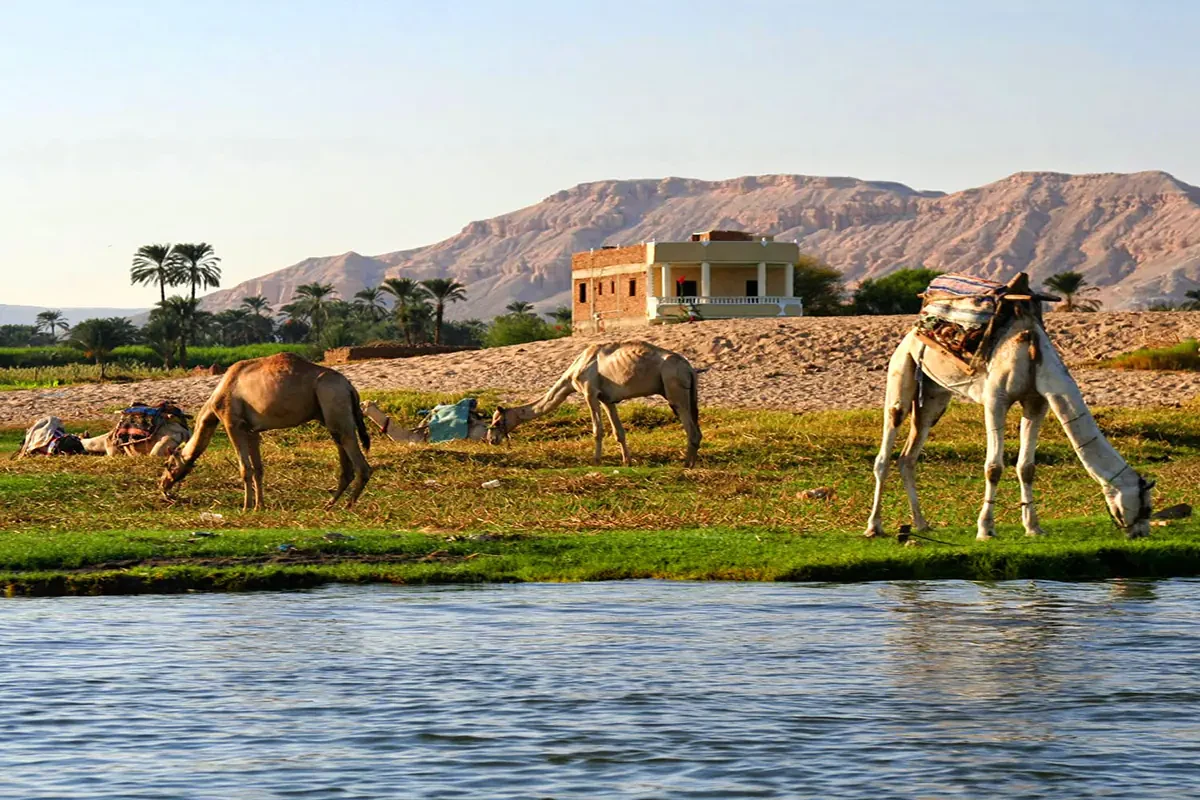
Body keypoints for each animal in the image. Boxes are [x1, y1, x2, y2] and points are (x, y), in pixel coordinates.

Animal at [160, 353, 371, 510]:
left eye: (168, 464)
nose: (162, 485)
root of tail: (350, 387)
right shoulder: (252, 430)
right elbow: (258, 469)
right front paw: (259, 506)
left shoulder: (232, 424)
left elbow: (245, 468)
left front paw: (246, 507)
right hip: (330, 414)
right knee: (344, 457)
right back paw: (329, 504)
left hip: (332, 399)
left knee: (359, 461)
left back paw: (347, 506)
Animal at [486, 341, 701, 467]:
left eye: (496, 422)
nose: (491, 439)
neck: (572, 374)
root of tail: (689, 367)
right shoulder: (607, 398)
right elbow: (618, 432)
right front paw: (627, 461)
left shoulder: (589, 392)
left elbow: (597, 429)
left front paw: (596, 460)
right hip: (688, 394)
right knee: (696, 428)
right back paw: (690, 463)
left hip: (673, 387)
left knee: (691, 429)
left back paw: (686, 465)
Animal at [865, 273, 1153, 541]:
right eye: (1146, 508)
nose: (1141, 533)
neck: (1035, 357)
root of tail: (917, 326)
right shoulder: (996, 400)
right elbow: (993, 468)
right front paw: (985, 529)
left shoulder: (1036, 402)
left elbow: (1027, 468)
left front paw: (1033, 527)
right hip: (902, 364)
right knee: (889, 438)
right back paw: (874, 527)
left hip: (935, 395)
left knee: (909, 455)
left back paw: (922, 524)